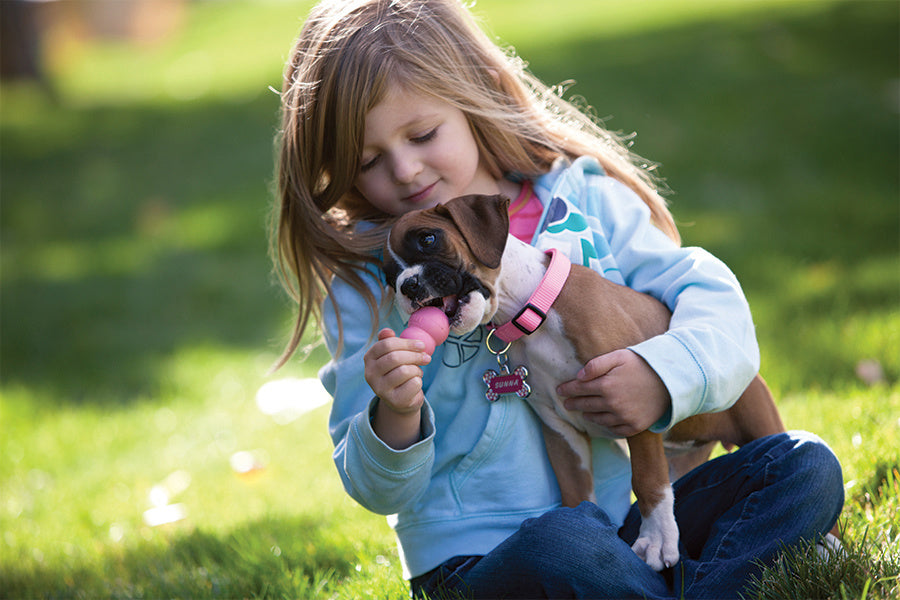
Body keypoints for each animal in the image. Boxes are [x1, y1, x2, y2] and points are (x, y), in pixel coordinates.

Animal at [384, 195, 784, 568]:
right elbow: (576, 493)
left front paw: (655, 540)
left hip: (757, 422)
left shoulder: (633, 405)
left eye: (428, 239)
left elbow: (647, 479)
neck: (535, 307)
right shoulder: (561, 433)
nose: (408, 286)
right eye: (389, 278)